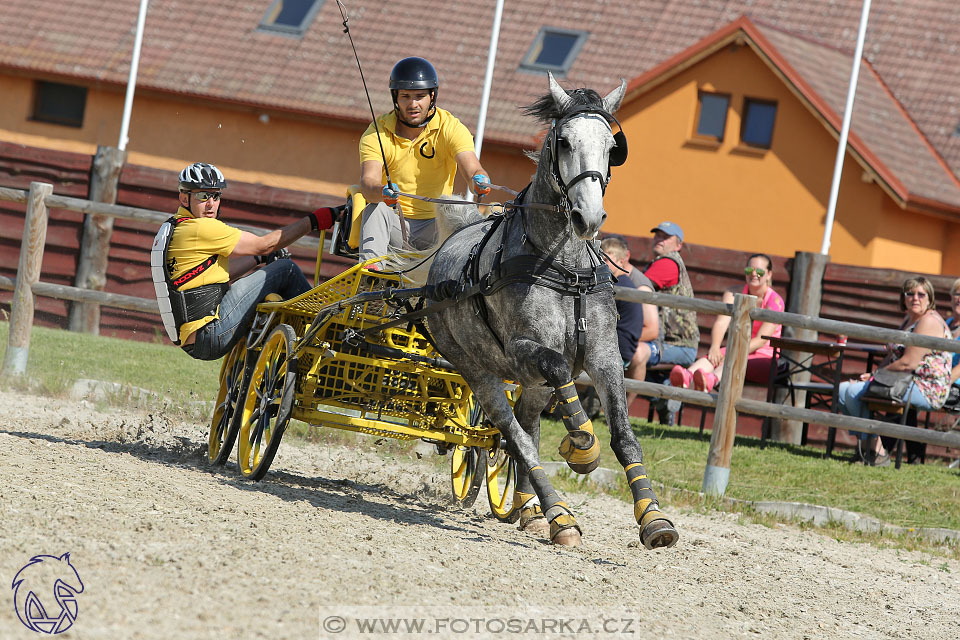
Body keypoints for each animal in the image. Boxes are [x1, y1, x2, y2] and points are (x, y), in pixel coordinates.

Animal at [424, 72, 680, 548]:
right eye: (563, 141)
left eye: (611, 145)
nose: (588, 217)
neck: (564, 265)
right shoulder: (528, 349)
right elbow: (562, 373)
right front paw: (582, 448)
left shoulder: (604, 356)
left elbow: (625, 437)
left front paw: (654, 518)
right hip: (480, 372)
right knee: (516, 438)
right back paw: (560, 514)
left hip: (530, 382)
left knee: (528, 427)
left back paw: (531, 509)